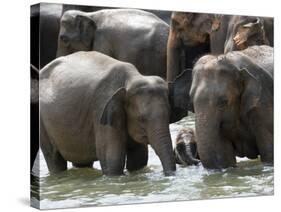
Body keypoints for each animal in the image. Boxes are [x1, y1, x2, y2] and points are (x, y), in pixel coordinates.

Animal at [38, 51, 190, 176]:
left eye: (169, 115)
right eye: (141, 119)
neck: (132, 78)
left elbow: (139, 159)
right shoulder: (101, 109)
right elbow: (113, 160)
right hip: (42, 121)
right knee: (54, 158)